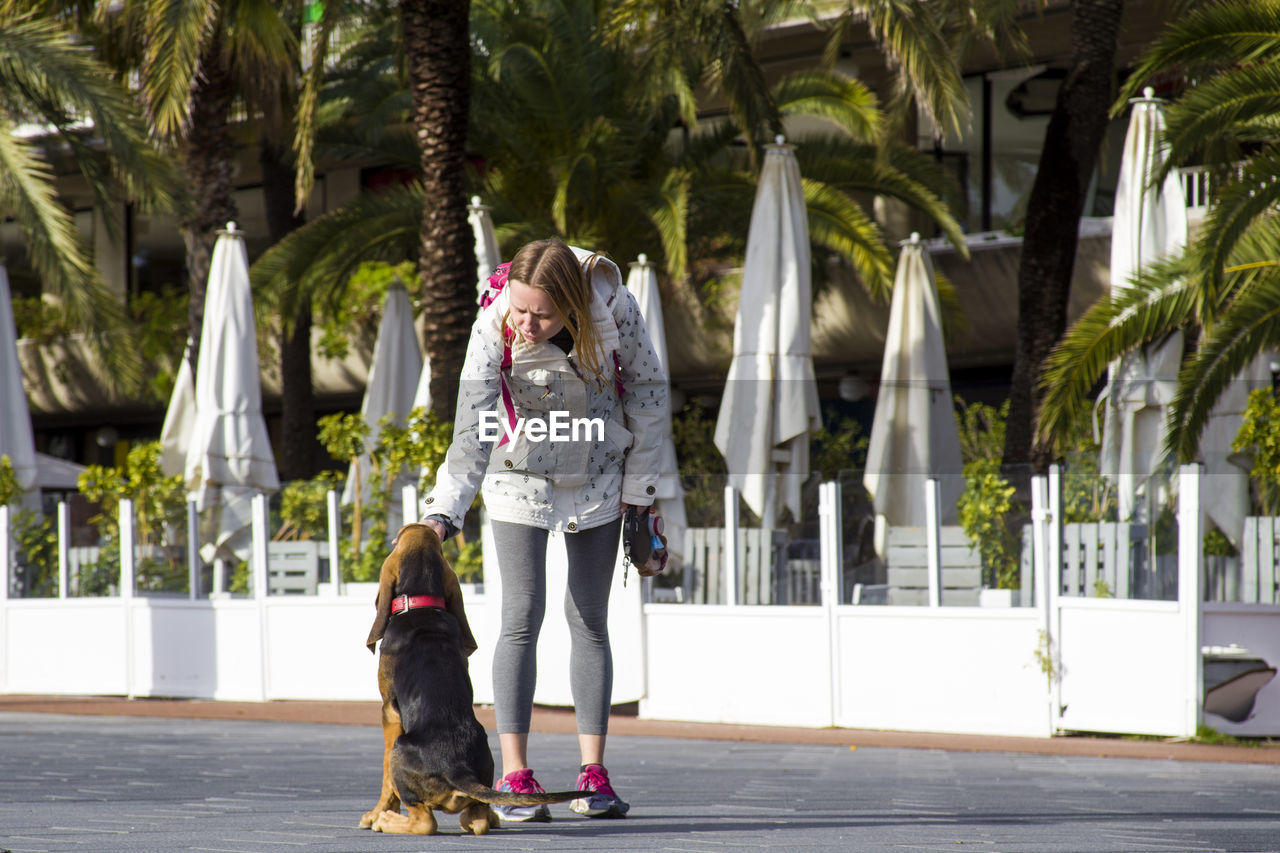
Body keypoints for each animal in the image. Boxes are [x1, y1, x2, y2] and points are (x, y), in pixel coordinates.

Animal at [358, 522, 583, 835]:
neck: (422, 604)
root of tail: (459, 771)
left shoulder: (389, 712)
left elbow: (385, 778)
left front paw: (375, 813)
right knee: (476, 819)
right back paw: (491, 817)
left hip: (401, 747)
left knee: (424, 820)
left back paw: (387, 820)